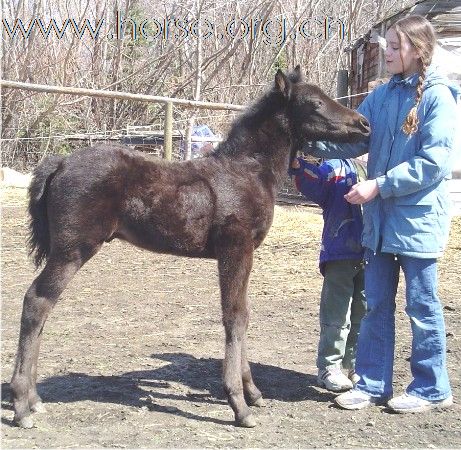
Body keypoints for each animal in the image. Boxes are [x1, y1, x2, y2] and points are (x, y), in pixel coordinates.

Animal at [10, 65, 370, 428]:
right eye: (314, 103)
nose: (364, 123)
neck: (247, 172)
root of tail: (59, 163)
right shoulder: (235, 249)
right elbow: (234, 316)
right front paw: (239, 405)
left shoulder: (243, 253)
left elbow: (243, 313)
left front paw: (253, 394)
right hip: (72, 251)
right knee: (37, 302)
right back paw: (22, 406)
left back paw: (35, 400)